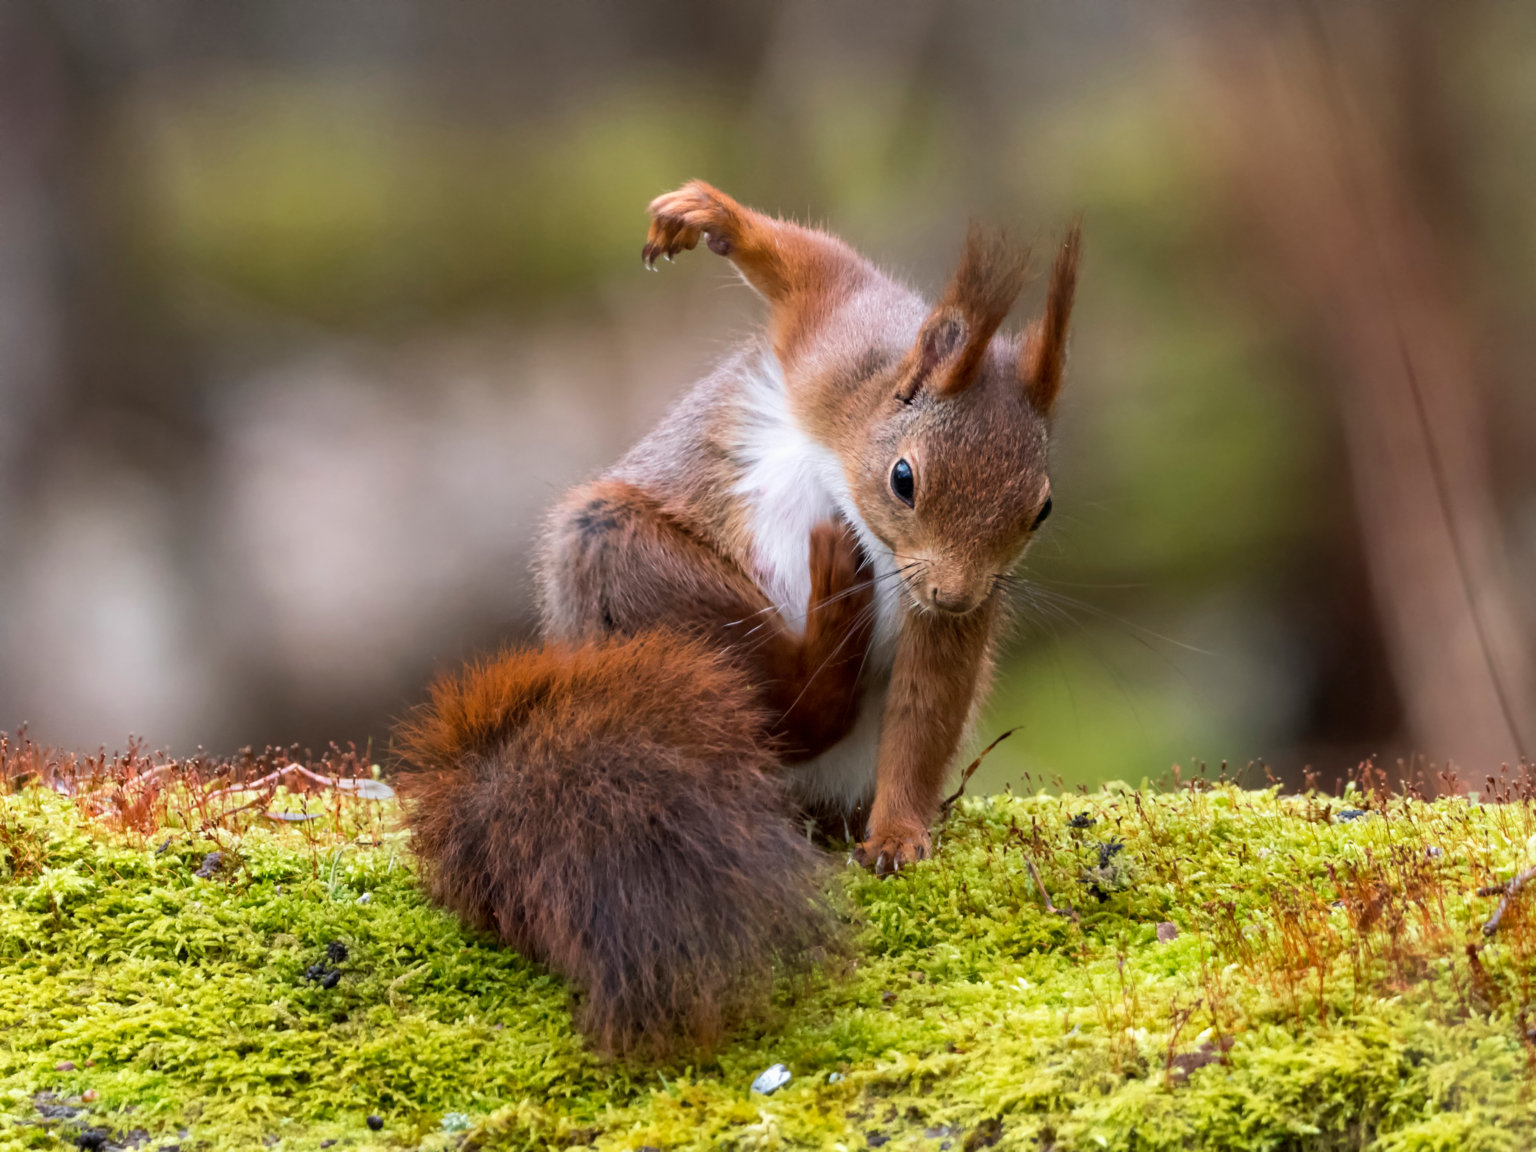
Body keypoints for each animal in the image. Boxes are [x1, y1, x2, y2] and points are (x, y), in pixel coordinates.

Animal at [402, 180, 1087, 1056]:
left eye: (1041, 509)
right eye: (904, 479)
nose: (956, 594)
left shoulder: (945, 617)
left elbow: (926, 711)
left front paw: (898, 836)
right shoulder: (836, 341)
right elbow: (811, 266)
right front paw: (707, 217)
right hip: (622, 557)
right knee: (789, 708)